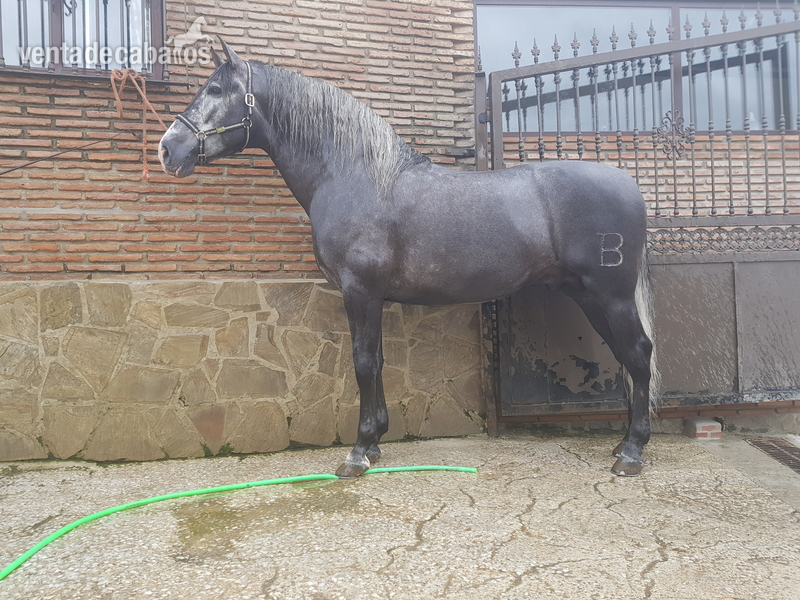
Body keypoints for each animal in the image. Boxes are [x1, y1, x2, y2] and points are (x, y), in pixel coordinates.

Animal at [158, 40, 659, 478]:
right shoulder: (372, 297)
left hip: (611, 296)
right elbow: (377, 361)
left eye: (215, 90)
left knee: (637, 353)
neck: (354, 175)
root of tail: (629, 184)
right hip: (588, 296)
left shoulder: (360, 291)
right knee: (624, 355)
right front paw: (376, 442)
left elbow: (362, 362)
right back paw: (622, 443)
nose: (167, 149)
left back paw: (632, 452)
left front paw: (358, 452)